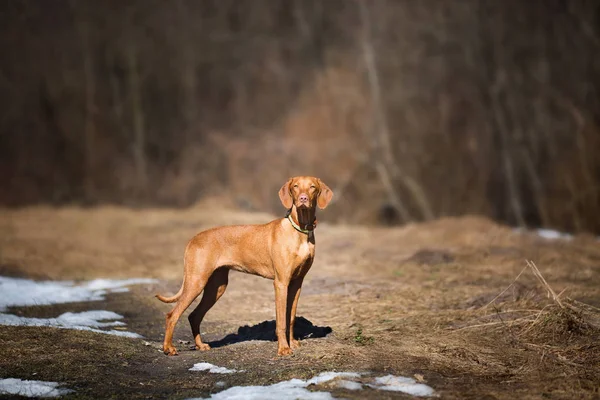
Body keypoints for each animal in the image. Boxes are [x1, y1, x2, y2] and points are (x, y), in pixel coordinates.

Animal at [155, 177, 332, 354]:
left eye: (312, 187)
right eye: (295, 186)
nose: (303, 198)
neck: (300, 230)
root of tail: (193, 239)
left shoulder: (297, 283)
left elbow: (291, 318)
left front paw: (293, 343)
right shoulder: (281, 283)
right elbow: (281, 321)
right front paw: (283, 349)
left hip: (216, 287)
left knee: (194, 316)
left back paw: (200, 345)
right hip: (196, 281)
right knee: (172, 315)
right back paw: (168, 348)